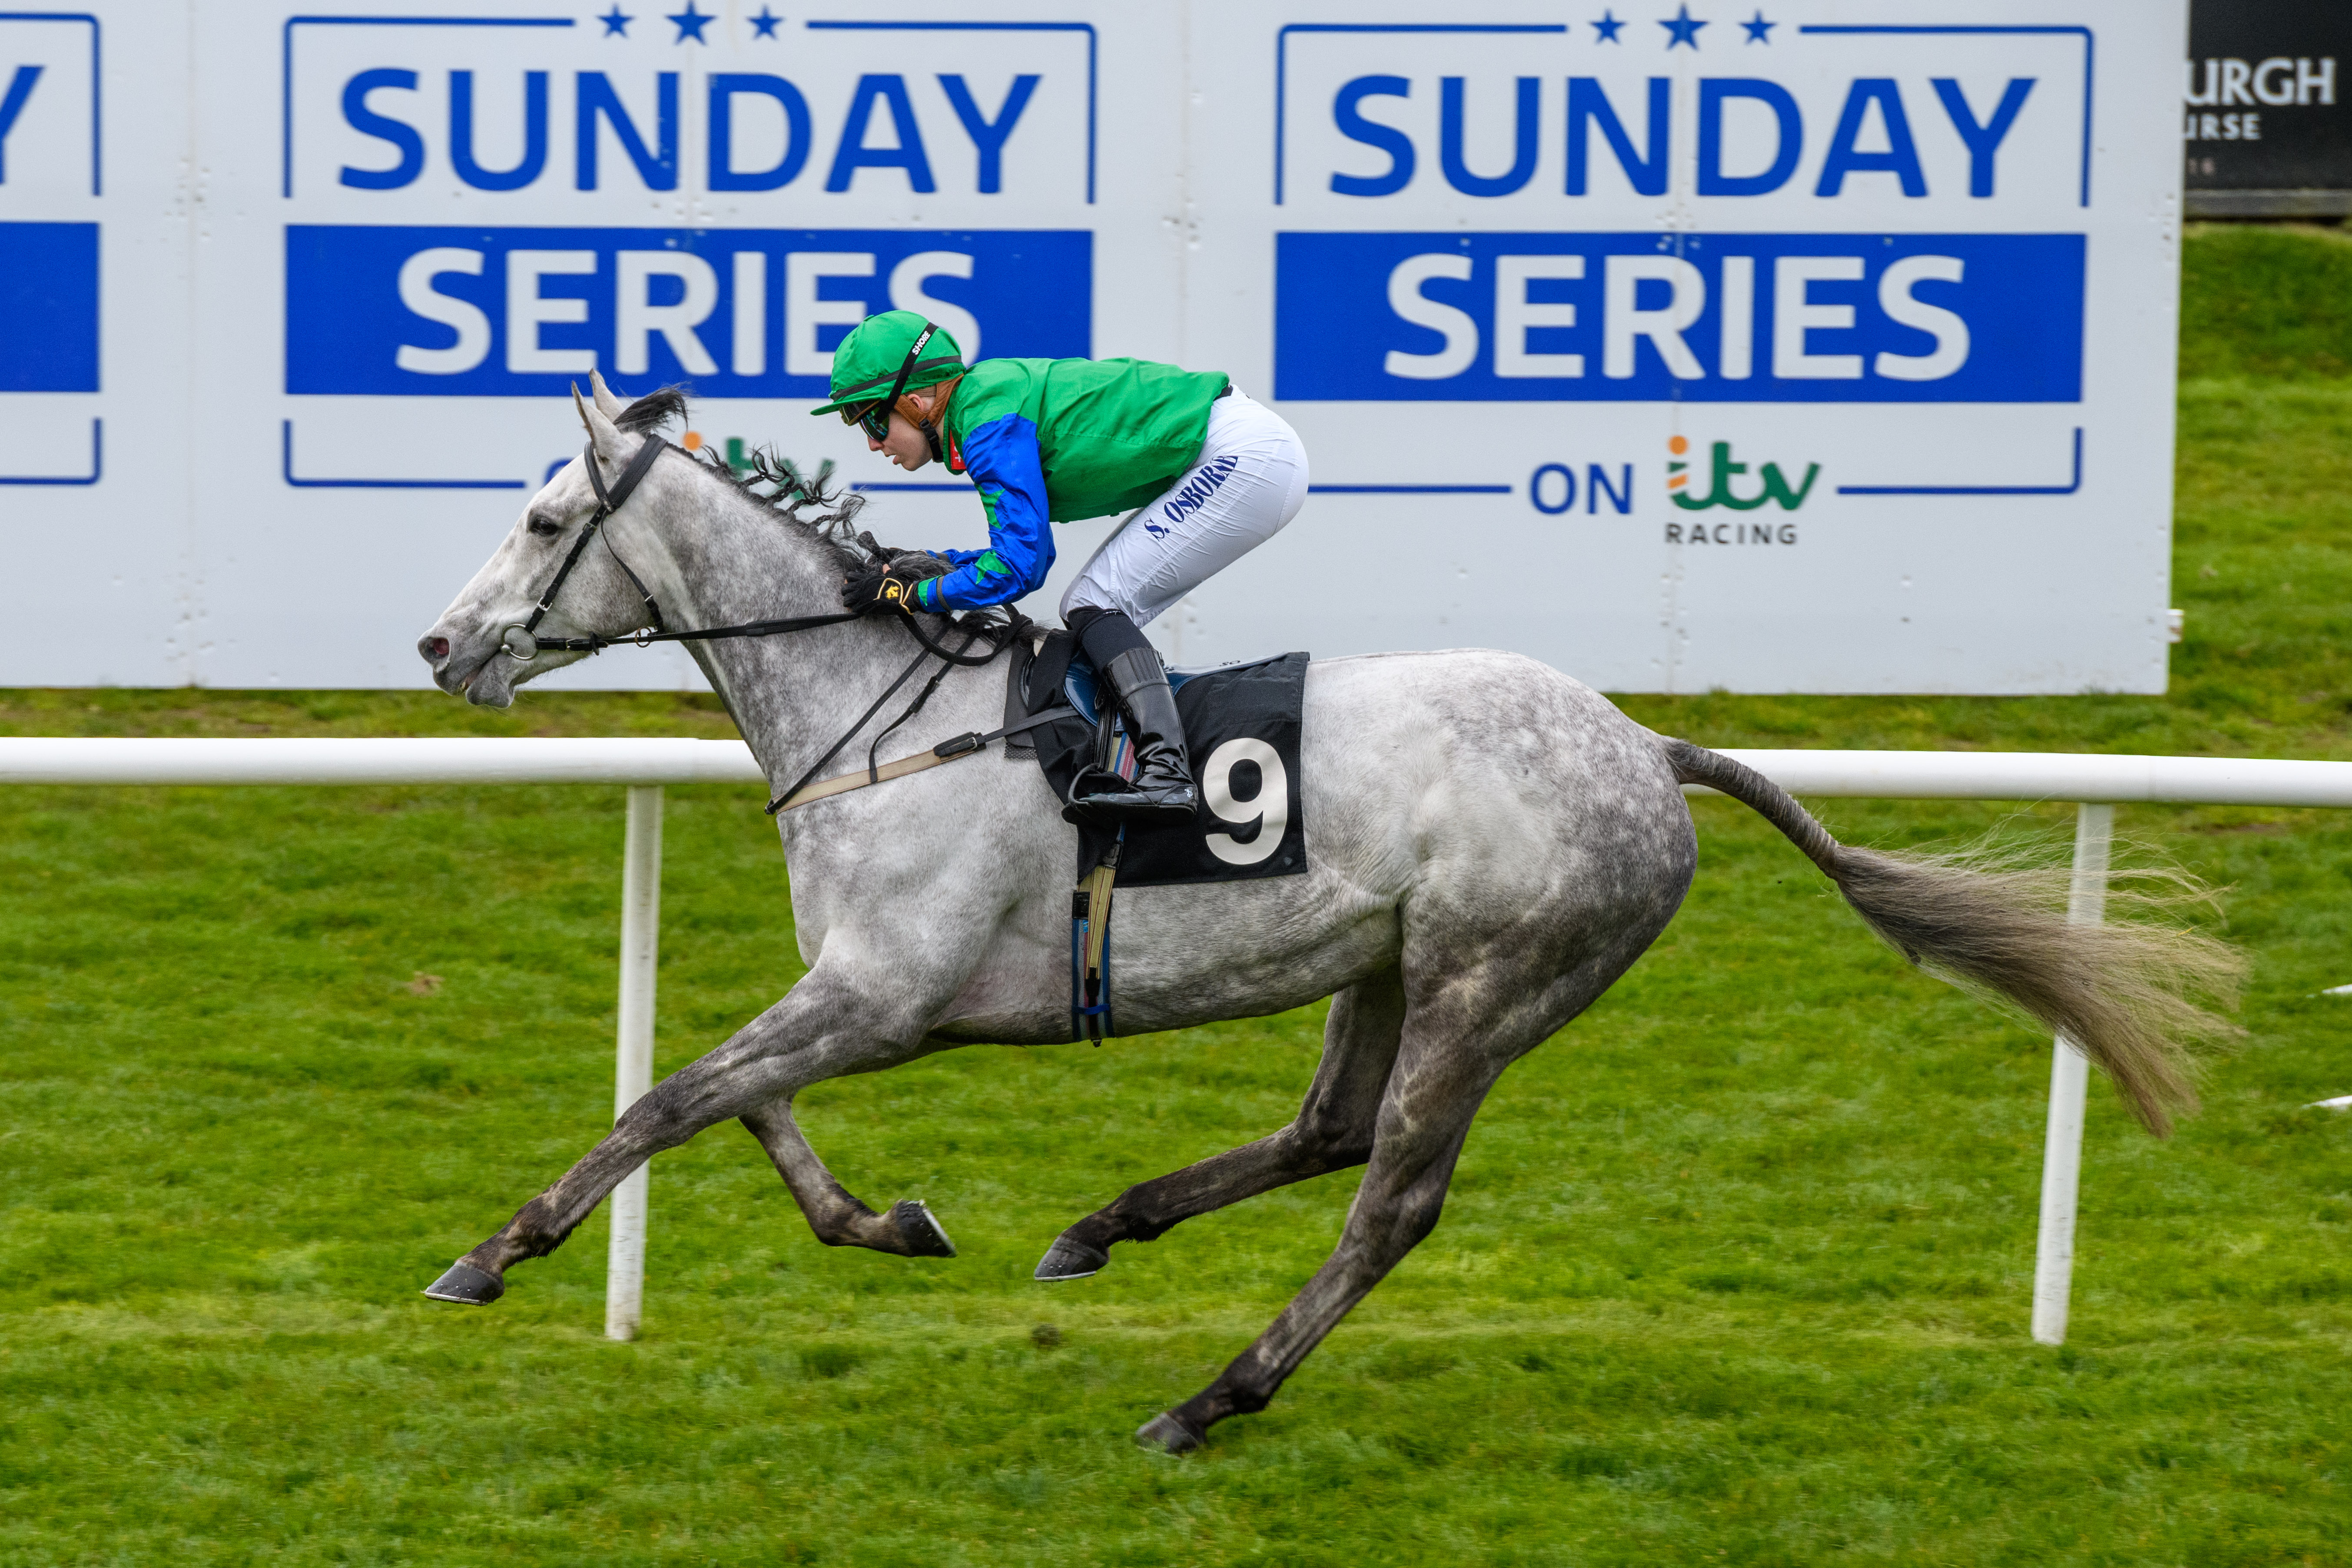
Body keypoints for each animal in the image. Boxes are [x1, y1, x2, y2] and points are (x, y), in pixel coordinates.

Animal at [418, 381, 2239, 1457]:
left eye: (541, 519)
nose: (442, 648)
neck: (887, 708)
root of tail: (1644, 747)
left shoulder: (889, 995)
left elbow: (671, 1097)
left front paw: (492, 1251)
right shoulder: (860, 991)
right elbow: (735, 1101)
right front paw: (890, 1219)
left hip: (1489, 982)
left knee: (1390, 1200)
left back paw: (1213, 1393)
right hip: (1387, 960)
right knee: (1330, 1133)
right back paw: (1105, 1225)